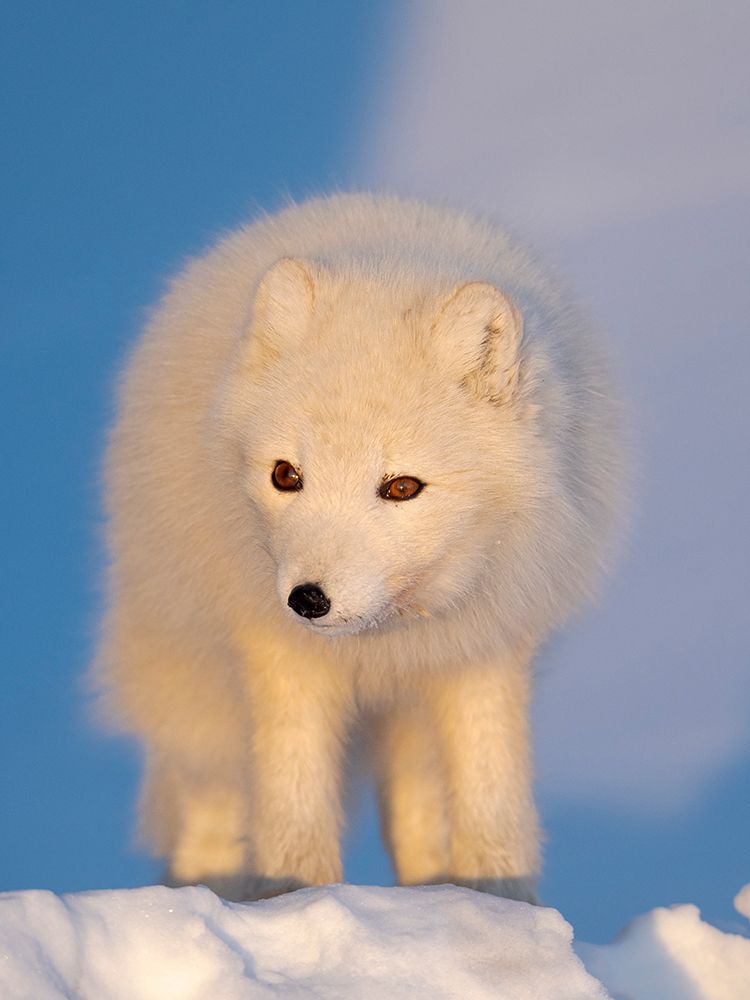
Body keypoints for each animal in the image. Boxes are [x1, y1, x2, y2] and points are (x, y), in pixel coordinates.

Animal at [95, 193, 626, 903]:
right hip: (200, 696)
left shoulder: (484, 652)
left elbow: (493, 813)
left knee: (420, 818)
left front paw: (500, 908)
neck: (386, 640)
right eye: (285, 475)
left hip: (414, 722)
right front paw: (296, 903)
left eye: (401, 487)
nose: (307, 600)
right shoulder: (280, 657)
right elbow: (295, 819)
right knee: (211, 814)